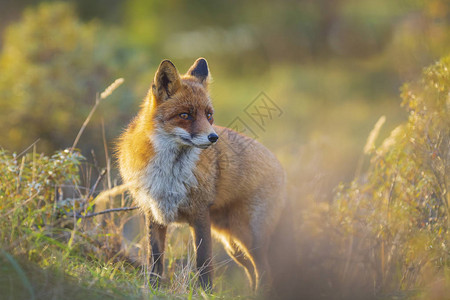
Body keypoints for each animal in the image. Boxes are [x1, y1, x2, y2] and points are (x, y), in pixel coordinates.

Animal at [116, 57, 284, 292]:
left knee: (265, 272)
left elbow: (203, 262)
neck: (169, 172)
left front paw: (206, 293)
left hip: (250, 238)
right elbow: (155, 259)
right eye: (185, 115)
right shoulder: (154, 213)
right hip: (233, 244)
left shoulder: (200, 213)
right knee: (252, 271)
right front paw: (152, 288)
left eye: (209, 115)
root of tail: (279, 164)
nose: (213, 138)